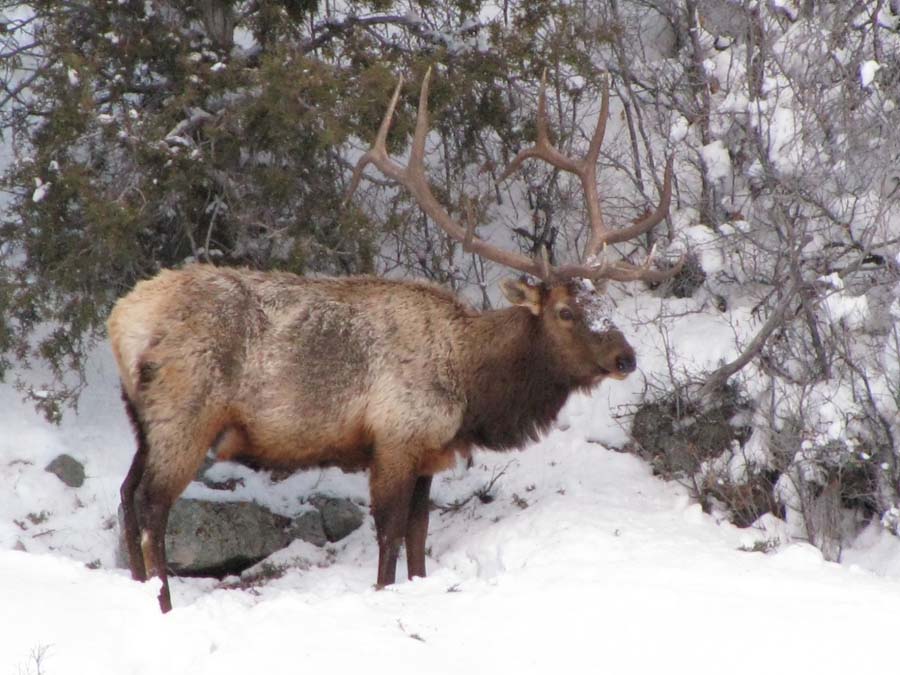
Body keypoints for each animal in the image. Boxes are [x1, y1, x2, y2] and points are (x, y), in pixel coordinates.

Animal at [109, 70, 680, 612]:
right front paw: (385, 593)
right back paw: (162, 603)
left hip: (144, 421)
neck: (470, 391)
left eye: (605, 303)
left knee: (126, 494)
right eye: (565, 312)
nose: (625, 357)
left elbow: (418, 535)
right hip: (186, 414)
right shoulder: (395, 436)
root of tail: (120, 321)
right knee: (153, 507)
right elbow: (389, 535)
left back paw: (138, 591)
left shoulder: (428, 451)